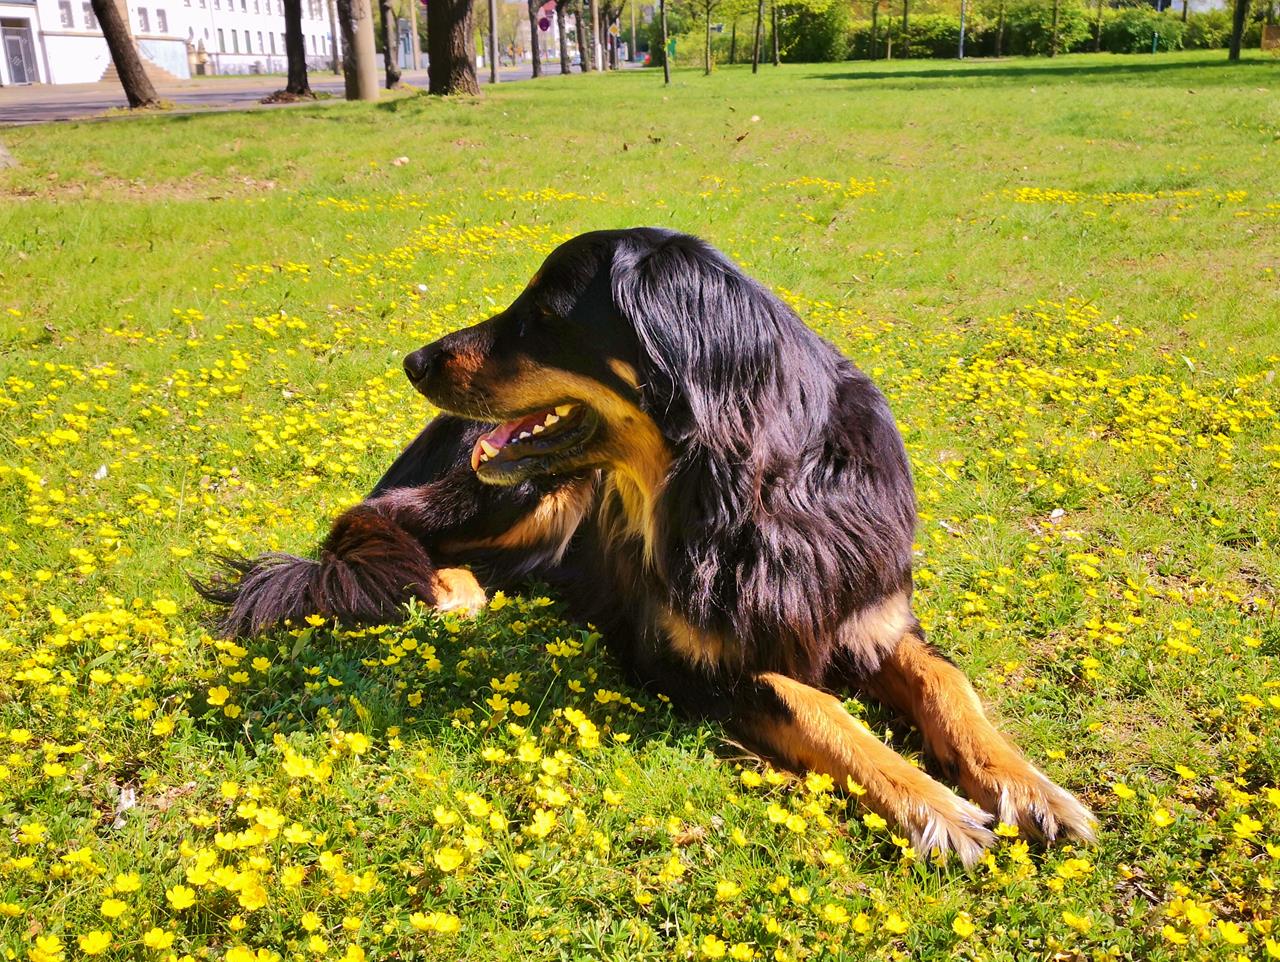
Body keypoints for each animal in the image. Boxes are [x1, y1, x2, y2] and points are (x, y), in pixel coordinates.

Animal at [198, 227, 1096, 864]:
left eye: (546, 315)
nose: (413, 359)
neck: (751, 487)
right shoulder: (680, 658)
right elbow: (808, 700)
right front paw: (935, 806)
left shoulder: (869, 614)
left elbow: (950, 685)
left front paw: (1029, 788)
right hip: (521, 490)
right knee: (368, 521)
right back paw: (448, 585)